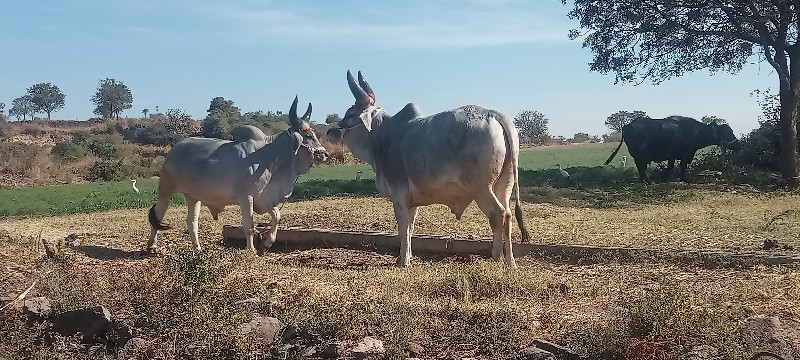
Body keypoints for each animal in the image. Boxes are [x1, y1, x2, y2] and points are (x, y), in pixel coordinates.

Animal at [148, 95, 326, 253]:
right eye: (308, 136)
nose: (324, 154)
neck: (271, 157)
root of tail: (175, 148)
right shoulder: (246, 197)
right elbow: (249, 226)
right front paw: (251, 250)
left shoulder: (264, 199)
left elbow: (277, 215)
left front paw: (267, 243)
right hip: (166, 189)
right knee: (158, 214)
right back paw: (152, 246)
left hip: (193, 196)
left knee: (192, 222)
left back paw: (197, 248)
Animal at [324, 70, 532, 268]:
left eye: (351, 114)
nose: (331, 130)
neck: (383, 137)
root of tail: (493, 113)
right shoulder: (412, 202)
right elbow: (410, 228)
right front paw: (407, 256)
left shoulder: (398, 195)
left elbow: (403, 228)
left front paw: (403, 261)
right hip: (505, 184)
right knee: (508, 214)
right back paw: (510, 261)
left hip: (482, 188)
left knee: (498, 213)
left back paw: (497, 256)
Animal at [608, 116, 736, 183]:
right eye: (727, 133)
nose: (738, 144)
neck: (697, 131)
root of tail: (627, 126)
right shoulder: (685, 154)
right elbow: (682, 167)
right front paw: (684, 179)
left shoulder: (672, 155)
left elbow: (670, 166)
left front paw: (664, 178)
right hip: (641, 154)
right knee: (642, 167)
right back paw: (649, 181)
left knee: (641, 168)